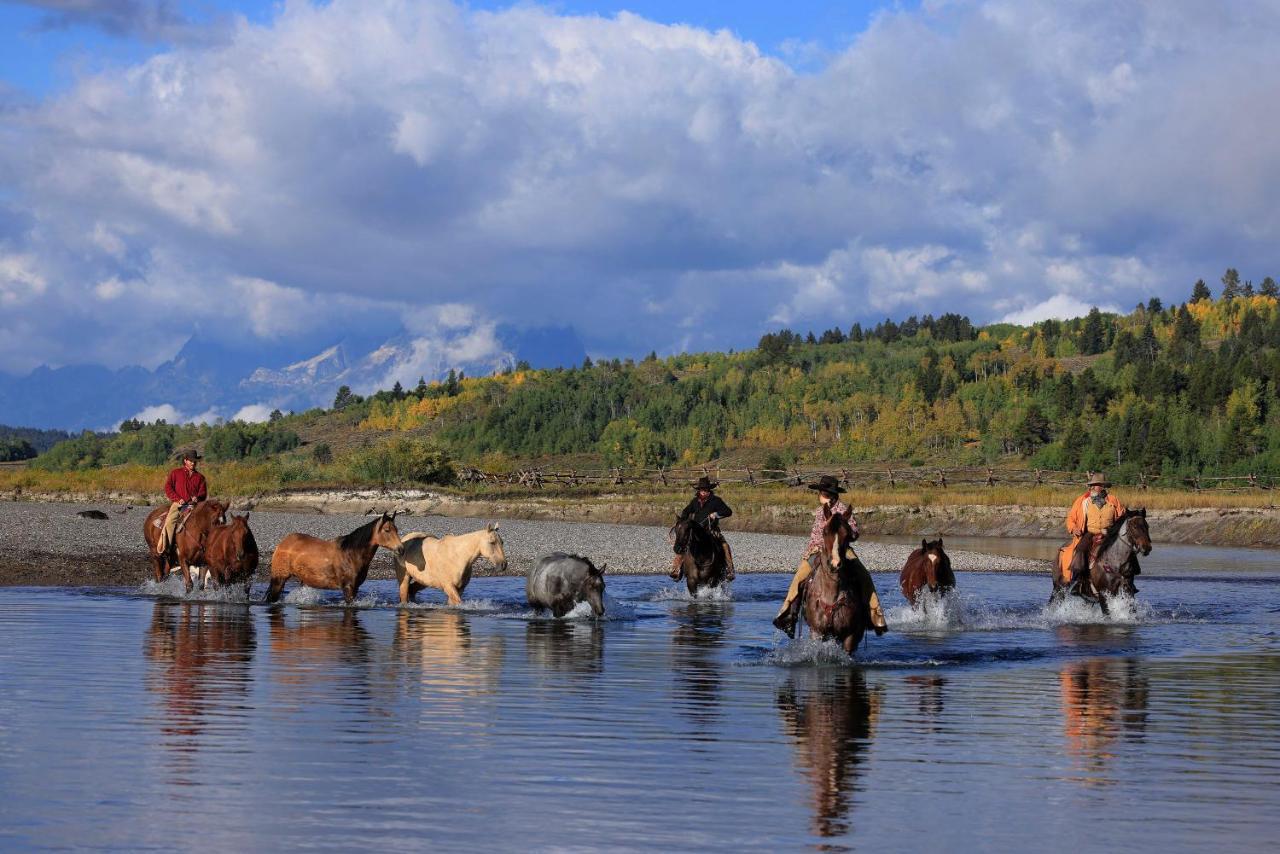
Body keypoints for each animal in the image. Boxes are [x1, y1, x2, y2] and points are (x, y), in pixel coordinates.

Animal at [267, 512, 407, 604]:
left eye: (396, 529)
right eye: (387, 530)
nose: (401, 549)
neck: (351, 554)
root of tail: (283, 543)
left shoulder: (355, 588)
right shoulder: (348, 588)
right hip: (279, 579)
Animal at [798, 512, 870, 660]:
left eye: (847, 534)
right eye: (825, 531)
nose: (835, 564)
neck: (832, 592)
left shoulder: (850, 636)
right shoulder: (817, 632)